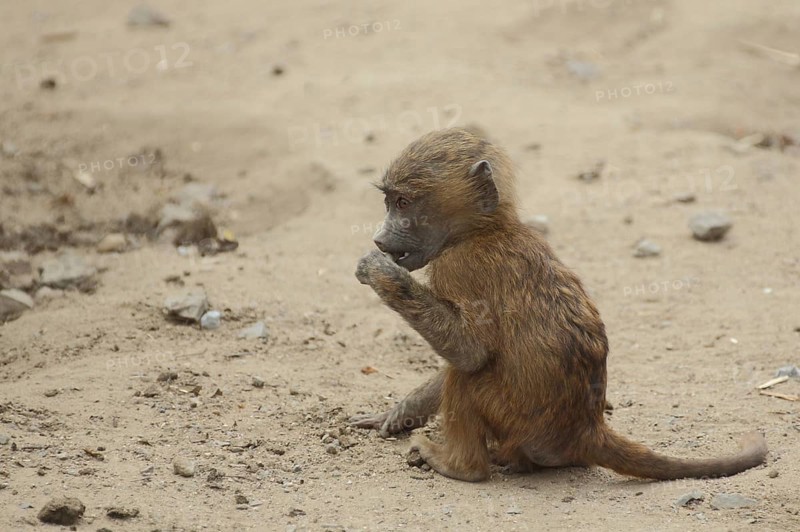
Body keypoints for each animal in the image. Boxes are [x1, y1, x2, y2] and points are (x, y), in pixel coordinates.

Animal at [349, 127, 768, 482]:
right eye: (389, 201)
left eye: (403, 202)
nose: (379, 239)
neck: (484, 228)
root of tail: (587, 431)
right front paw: (402, 413)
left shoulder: (460, 267)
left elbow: (471, 353)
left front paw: (378, 272)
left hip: (516, 421)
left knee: (468, 378)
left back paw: (459, 466)